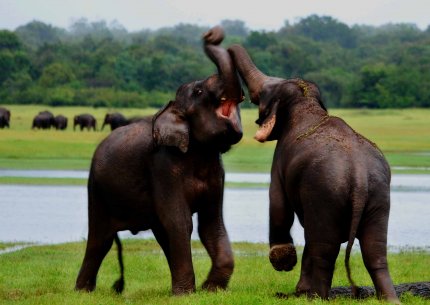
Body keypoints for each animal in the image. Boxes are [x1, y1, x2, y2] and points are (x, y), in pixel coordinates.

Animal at [228, 44, 400, 302]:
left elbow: (277, 202)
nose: (212, 37)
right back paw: (390, 299)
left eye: (263, 94)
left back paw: (316, 297)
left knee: (324, 247)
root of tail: (359, 174)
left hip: (325, 192)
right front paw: (298, 288)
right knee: (374, 250)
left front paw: (285, 265)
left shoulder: (279, 160)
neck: (306, 101)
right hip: (379, 195)